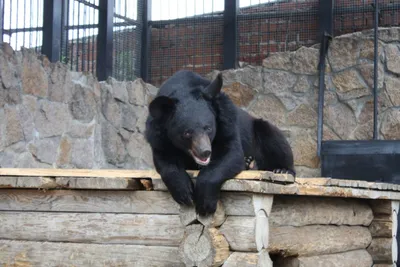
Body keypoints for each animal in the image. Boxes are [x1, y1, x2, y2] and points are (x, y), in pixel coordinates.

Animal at [145, 70, 296, 217]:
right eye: (187, 133)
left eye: (209, 128)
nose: (205, 152)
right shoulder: (158, 135)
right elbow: (165, 161)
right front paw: (184, 194)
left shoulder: (226, 121)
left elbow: (230, 154)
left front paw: (205, 204)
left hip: (259, 128)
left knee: (274, 138)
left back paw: (280, 169)